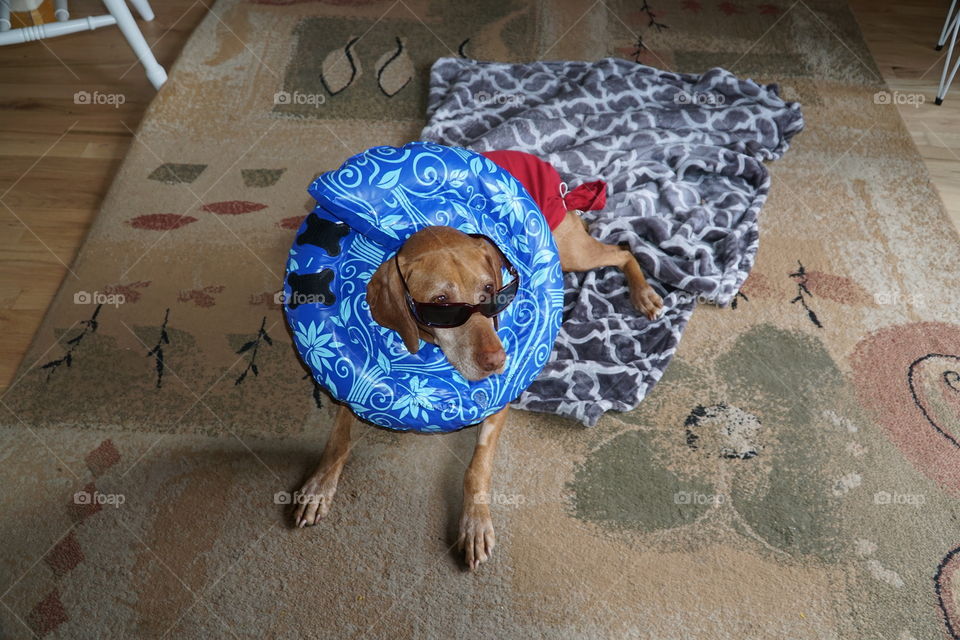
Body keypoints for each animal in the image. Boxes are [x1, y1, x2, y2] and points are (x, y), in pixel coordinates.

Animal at [292, 150, 664, 568]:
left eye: (490, 289)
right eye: (442, 303)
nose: (497, 361)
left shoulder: (498, 404)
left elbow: (477, 467)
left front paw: (474, 523)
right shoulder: (353, 386)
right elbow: (338, 438)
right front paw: (318, 486)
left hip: (571, 253)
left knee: (623, 251)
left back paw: (644, 295)